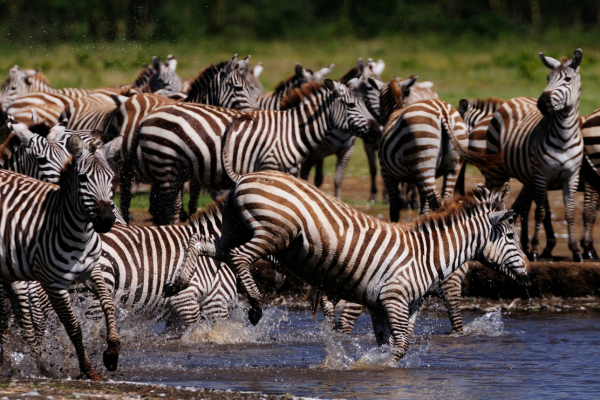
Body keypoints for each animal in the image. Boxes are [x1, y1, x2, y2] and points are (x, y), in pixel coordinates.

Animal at [0, 135, 119, 382]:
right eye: (83, 178)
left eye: (111, 178)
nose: (106, 220)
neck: (79, 232)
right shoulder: (53, 284)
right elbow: (73, 327)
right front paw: (89, 370)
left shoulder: (92, 270)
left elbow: (108, 303)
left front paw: (112, 353)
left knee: (21, 323)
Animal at [119, 79, 378, 227]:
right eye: (351, 105)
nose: (377, 128)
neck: (293, 131)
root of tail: (146, 119)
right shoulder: (270, 165)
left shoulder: (290, 172)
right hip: (166, 165)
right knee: (164, 209)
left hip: (172, 170)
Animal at [195, 139, 528, 358]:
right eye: (512, 235)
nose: (527, 271)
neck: (426, 255)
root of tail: (245, 175)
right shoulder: (394, 297)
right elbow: (402, 346)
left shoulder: (383, 305)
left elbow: (390, 344)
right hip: (275, 232)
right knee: (239, 256)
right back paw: (254, 305)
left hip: (233, 228)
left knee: (204, 246)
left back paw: (186, 278)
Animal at [486, 49, 584, 260]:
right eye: (548, 78)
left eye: (567, 79)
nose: (542, 103)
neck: (564, 136)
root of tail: (515, 98)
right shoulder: (541, 175)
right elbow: (540, 212)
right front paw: (535, 250)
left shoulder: (571, 176)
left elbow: (570, 212)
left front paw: (576, 250)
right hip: (497, 171)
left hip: (527, 177)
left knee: (520, 206)